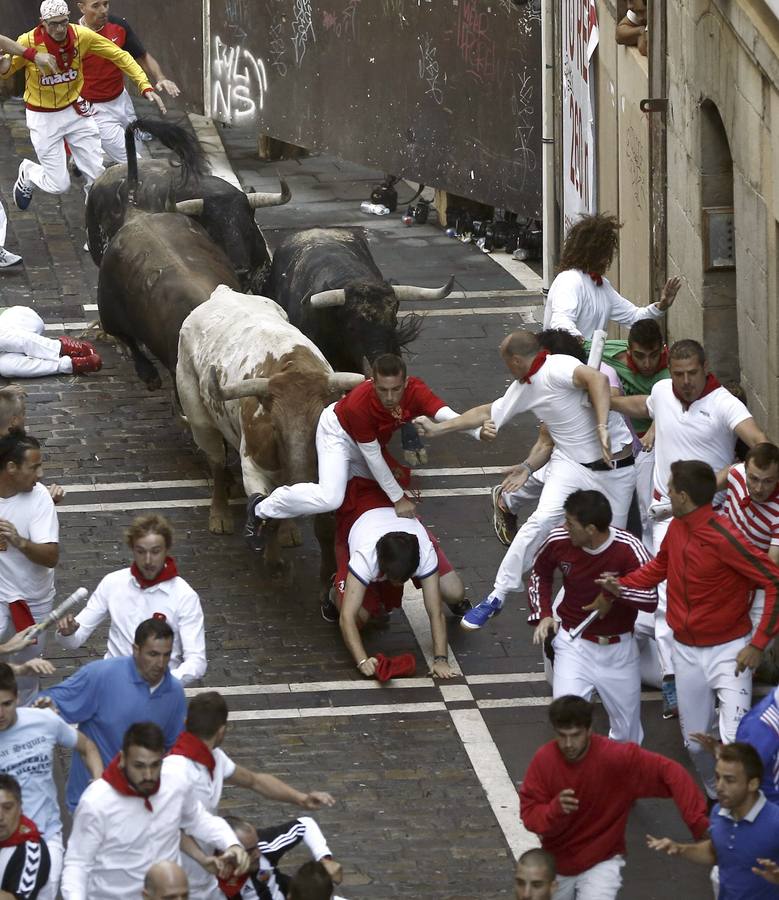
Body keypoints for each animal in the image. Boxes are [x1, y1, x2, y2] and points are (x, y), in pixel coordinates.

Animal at [175, 284, 364, 576]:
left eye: (319, 422)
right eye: (274, 425)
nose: (302, 479)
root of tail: (222, 292)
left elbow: (325, 527)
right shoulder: (254, 469)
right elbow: (268, 514)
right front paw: (273, 561)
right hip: (199, 419)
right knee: (216, 462)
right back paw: (220, 515)